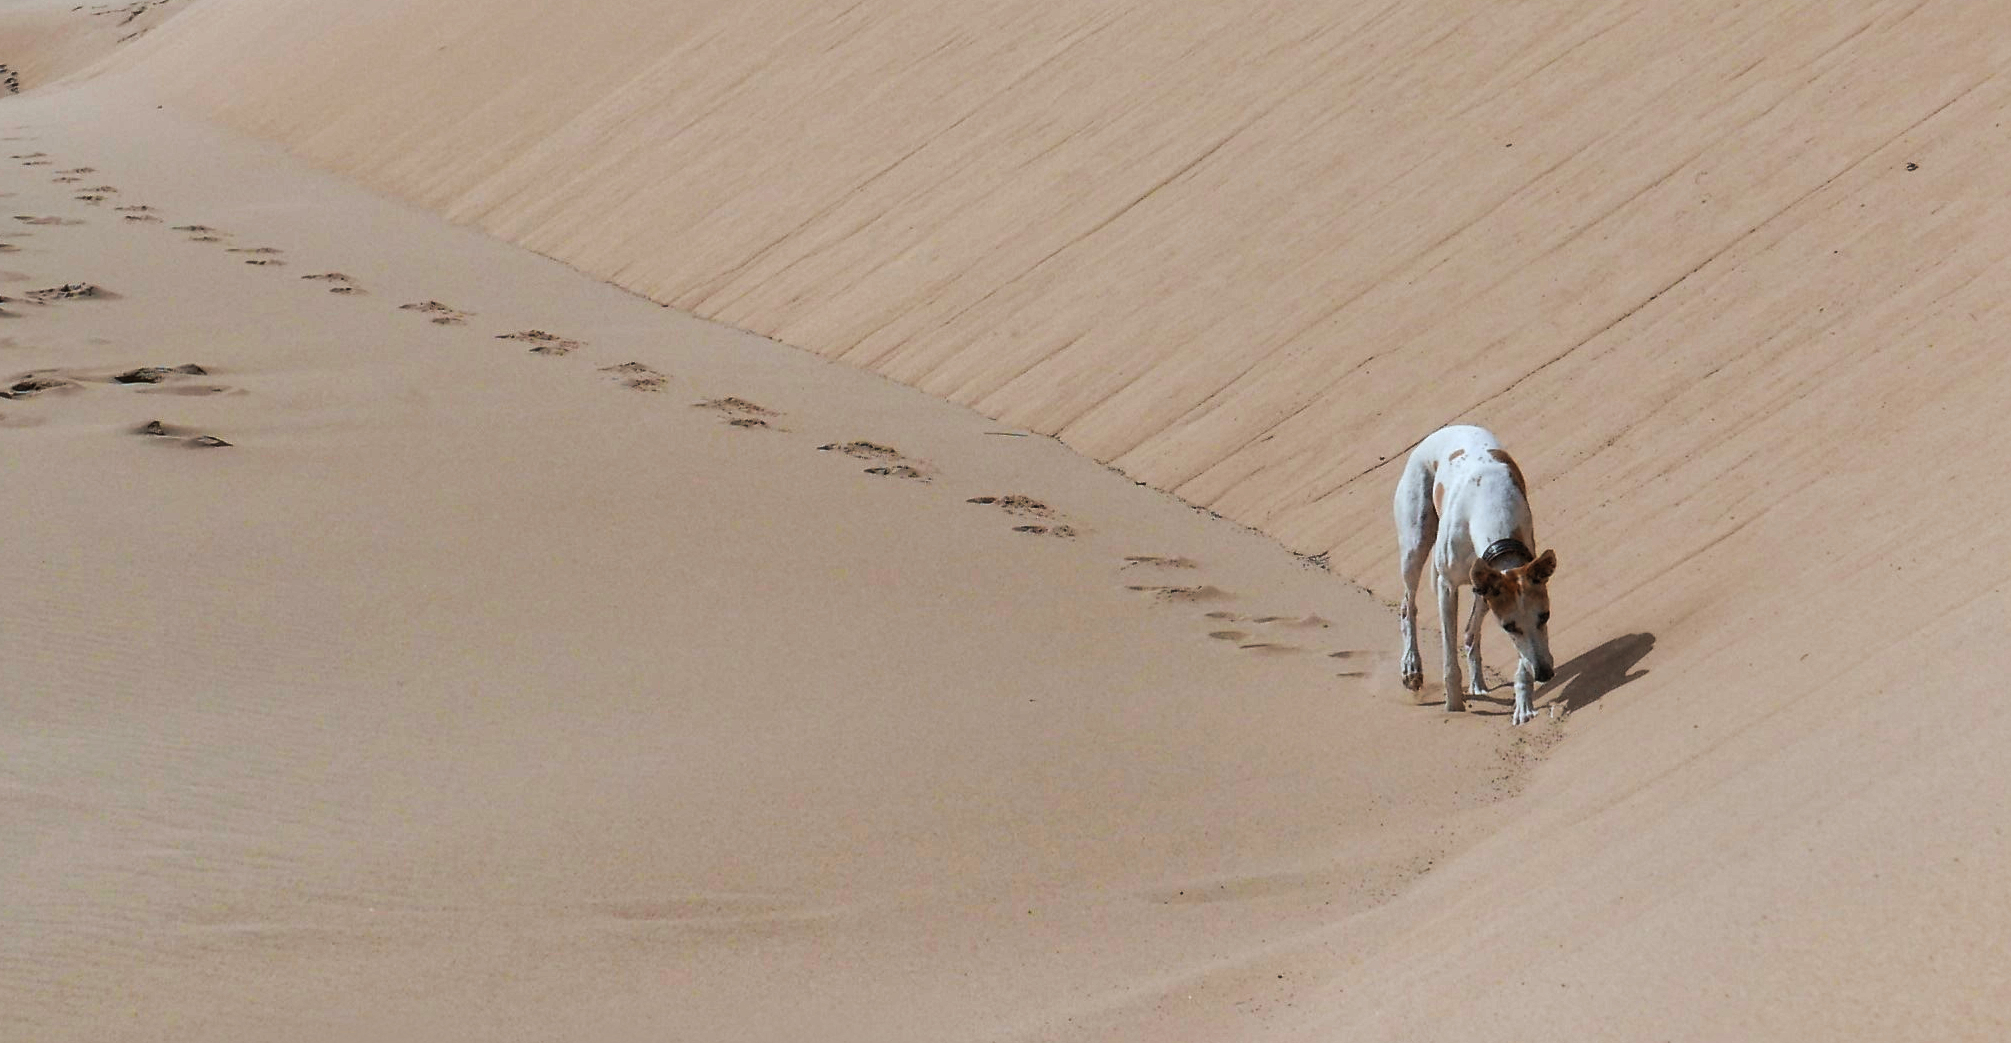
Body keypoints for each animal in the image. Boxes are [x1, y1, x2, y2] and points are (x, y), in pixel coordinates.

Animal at [1391, 424, 1560, 727]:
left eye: (1545, 616)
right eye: (1508, 627)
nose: (1544, 673)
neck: (1490, 505)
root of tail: (1445, 430)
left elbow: (1519, 656)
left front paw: (1523, 704)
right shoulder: (1447, 586)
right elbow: (1449, 658)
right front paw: (1454, 704)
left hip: (1482, 586)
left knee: (1471, 631)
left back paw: (1478, 683)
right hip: (1414, 545)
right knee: (1407, 605)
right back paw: (1411, 667)